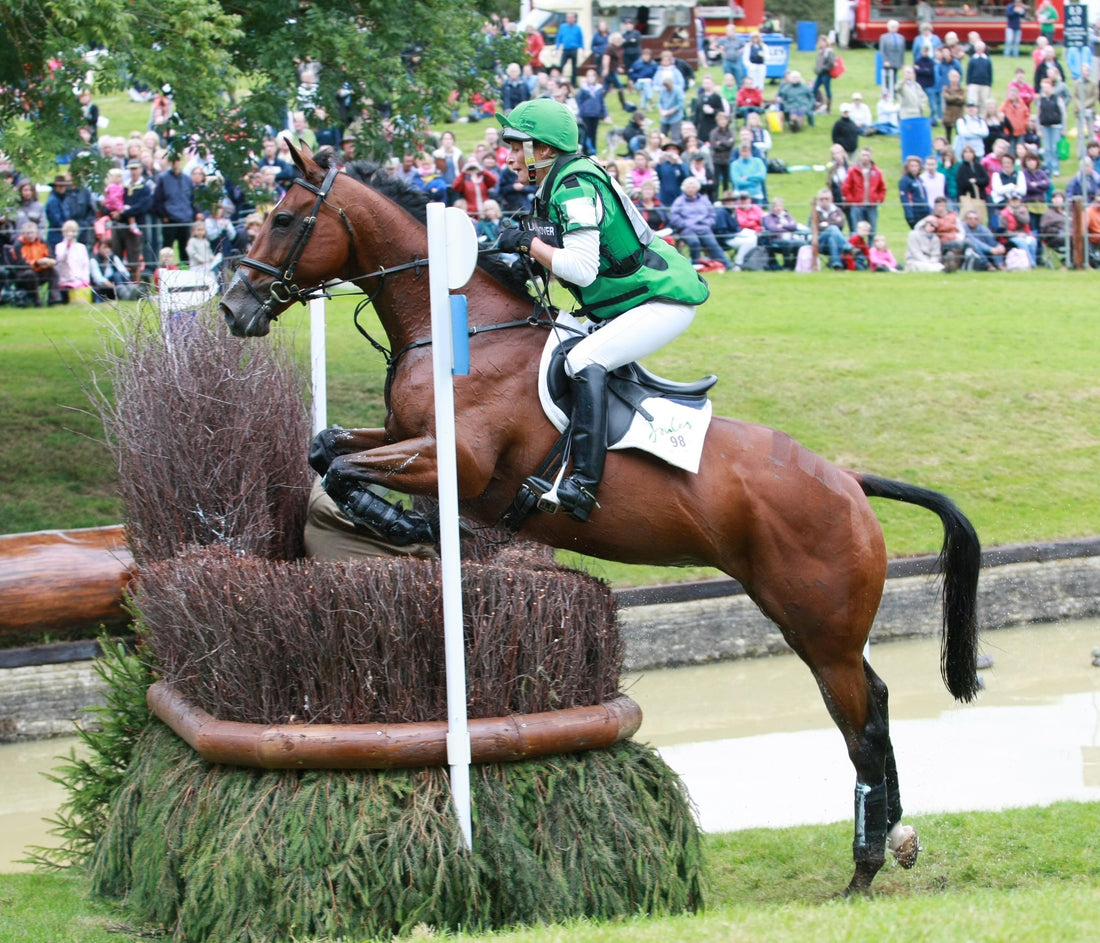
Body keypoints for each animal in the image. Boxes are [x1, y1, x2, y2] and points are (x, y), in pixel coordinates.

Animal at [216, 143, 981, 893]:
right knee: (873, 703)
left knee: (862, 726)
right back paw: (897, 836)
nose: (233, 307)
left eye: (283, 220)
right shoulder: (405, 437)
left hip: (821, 628)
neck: (461, 328)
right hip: (810, 623)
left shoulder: (455, 462)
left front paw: (408, 526)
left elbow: (348, 470)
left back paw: (863, 866)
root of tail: (849, 483)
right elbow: (326, 450)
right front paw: (401, 524)